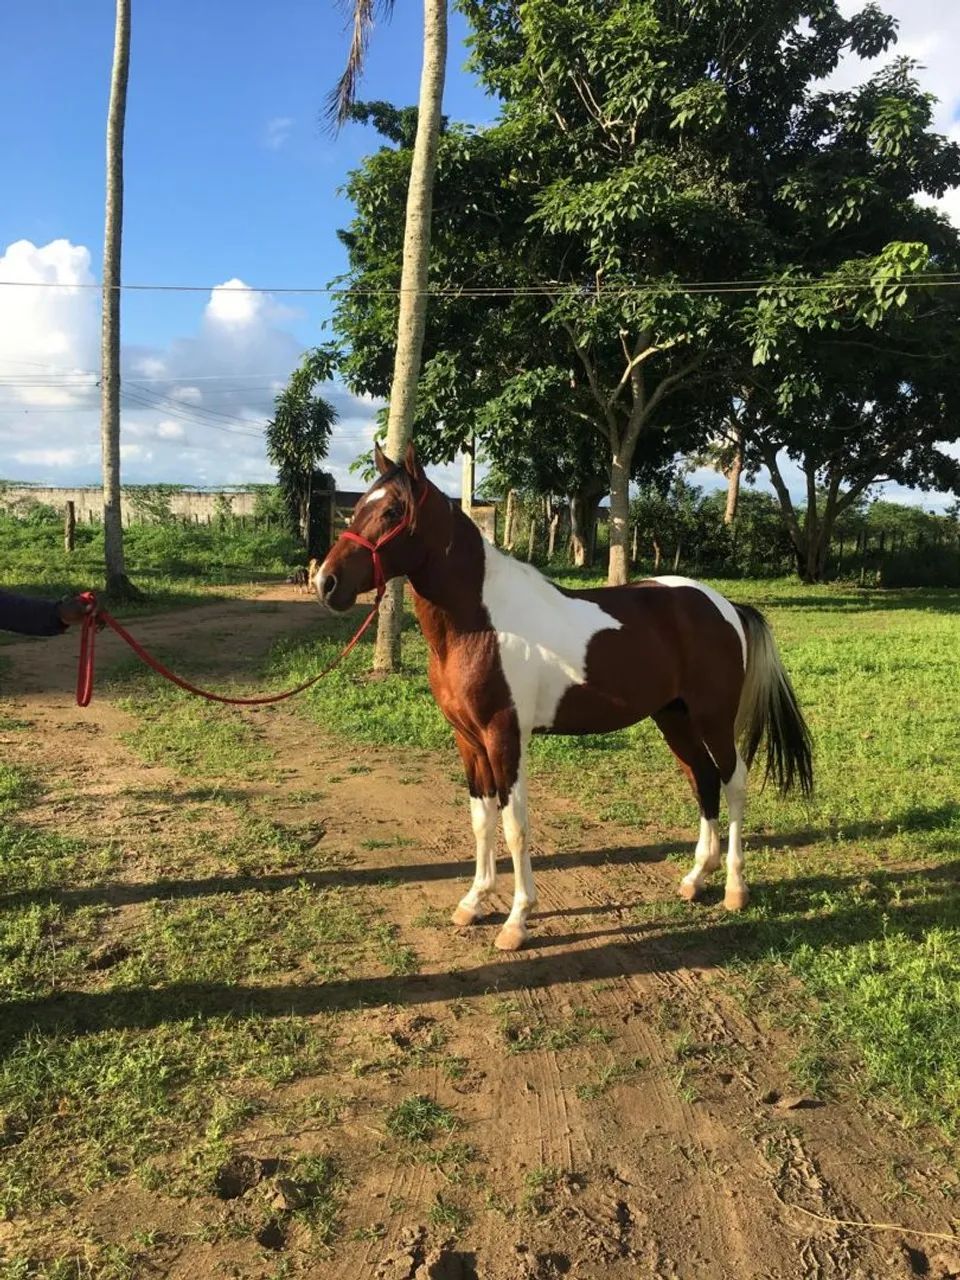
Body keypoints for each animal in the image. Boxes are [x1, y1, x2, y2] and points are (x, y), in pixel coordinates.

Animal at [315, 443, 813, 952]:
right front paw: (474, 902)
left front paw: (517, 920)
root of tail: (726, 606)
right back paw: (695, 879)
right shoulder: (469, 741)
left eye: (392, 511)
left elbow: (515, 825)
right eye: (359, 506)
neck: (480, 625)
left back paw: (734, 888)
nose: (326, 583)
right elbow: (481, 819)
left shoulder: (505, 737)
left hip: (713, 717)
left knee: (733, 782)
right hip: (674, 718)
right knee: (704, 780)